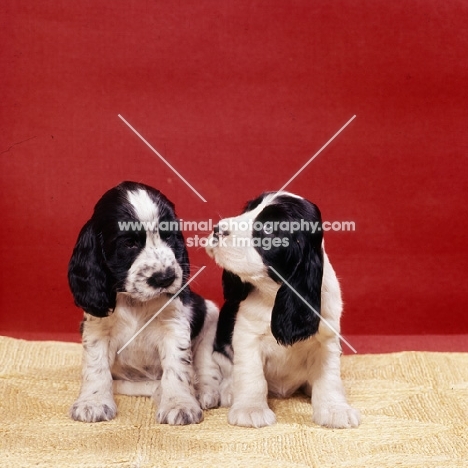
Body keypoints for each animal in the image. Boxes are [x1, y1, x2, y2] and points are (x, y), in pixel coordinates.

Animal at [68, 181, 221, 426]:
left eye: (169, 236)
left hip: (210, 317)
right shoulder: (97, 328)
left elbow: (177, 366)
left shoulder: (174, 325)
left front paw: (179, 404)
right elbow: (95, 366)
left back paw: (204, 392)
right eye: (129, 244)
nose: (165, 278)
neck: (135, 301)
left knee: (206, 364)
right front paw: (93, 402)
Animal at [206, 190, 362, 428]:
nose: (217, 229)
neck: (273, 293)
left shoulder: (326, 340)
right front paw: (250, 409)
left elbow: (329, 378)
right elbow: (251, 375)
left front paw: (335, 409)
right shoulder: (247, 336)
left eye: (269, 230)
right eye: (247, 210)